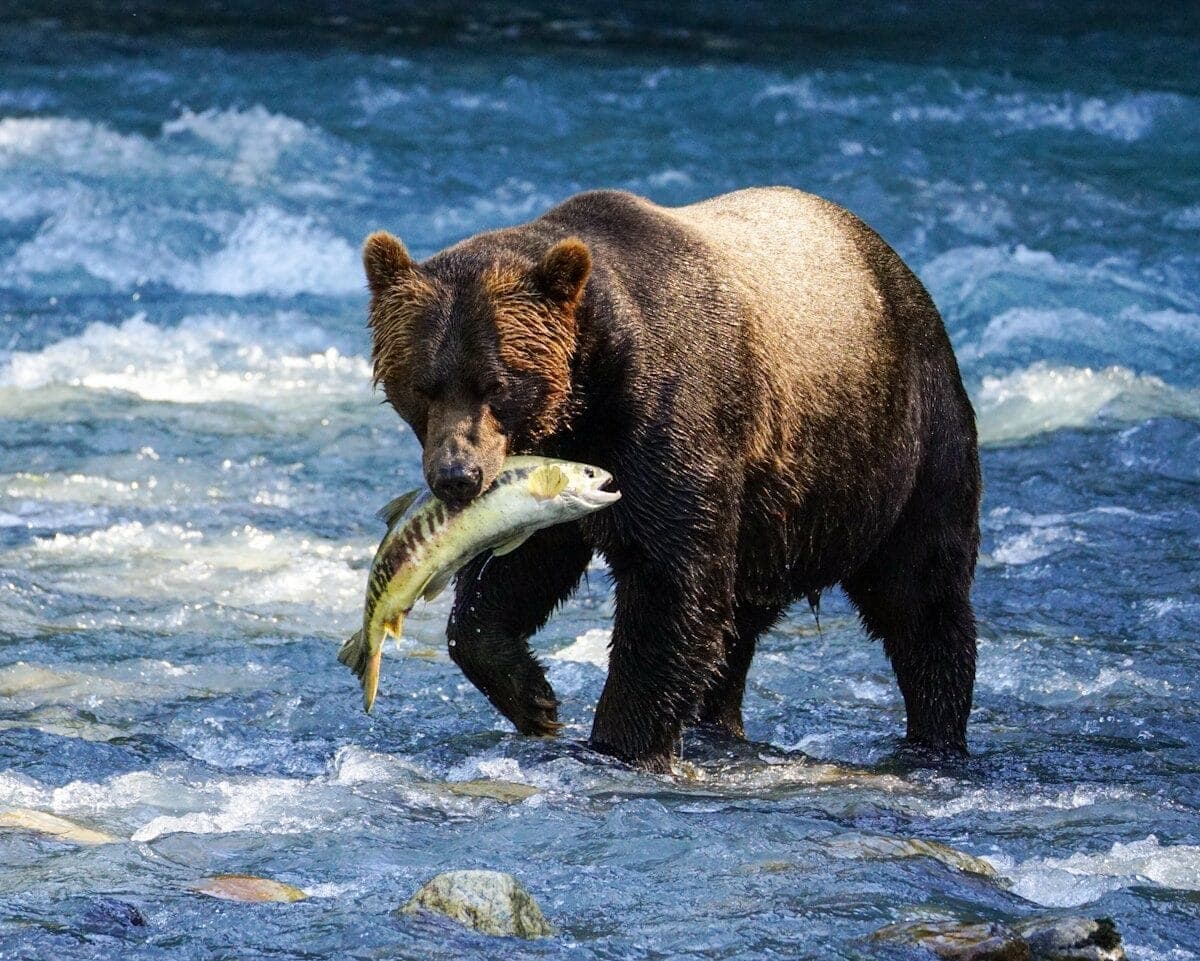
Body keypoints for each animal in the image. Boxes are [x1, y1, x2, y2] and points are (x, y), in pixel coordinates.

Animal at [362, 187, 981, 772]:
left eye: (496, 383)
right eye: (422, 384)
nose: (457, 476)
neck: (588, 396)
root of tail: (897, 266)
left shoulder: (672, 422)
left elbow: (670, 587)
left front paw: (619, 742)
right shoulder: (559, 472)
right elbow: (517, 572)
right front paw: (534, 697)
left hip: (901, 443)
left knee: (921, 596)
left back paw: (935, 736)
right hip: (774, 518)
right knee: (739, 624)